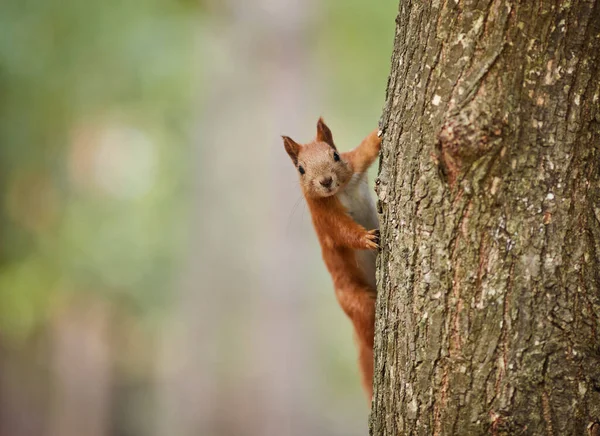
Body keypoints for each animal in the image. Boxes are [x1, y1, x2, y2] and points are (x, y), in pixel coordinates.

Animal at [282, 117, 380, 400]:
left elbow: (366, 149)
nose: (326, 181)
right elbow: (343, 232)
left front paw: (379, 132)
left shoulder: (355, 165)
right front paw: (366, 239)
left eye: (335, 155)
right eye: (301, 169)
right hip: (356, 301)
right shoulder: (324, 214)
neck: (342, 190)